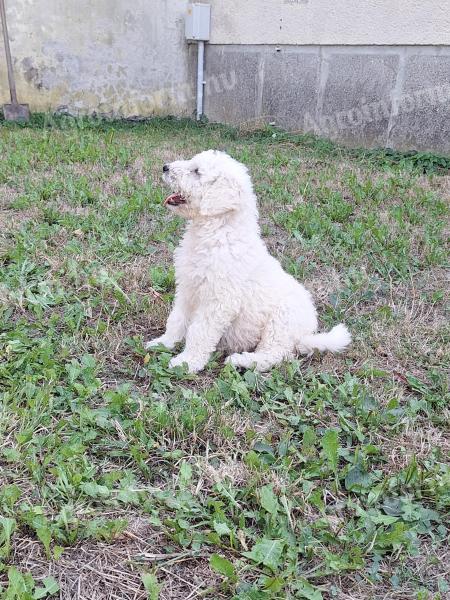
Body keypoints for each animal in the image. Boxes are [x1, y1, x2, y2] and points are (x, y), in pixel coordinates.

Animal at [146, 150, 350, 372]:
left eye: (197, 171)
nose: (165, 167)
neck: (217, 232)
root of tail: (305, 335)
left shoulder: (218, 300)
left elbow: (200, 331)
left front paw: (186, 362)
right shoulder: (187, 289)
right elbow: (177, 319)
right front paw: (163, 342)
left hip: (281, 322)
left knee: (273, 355)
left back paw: (240, 360)